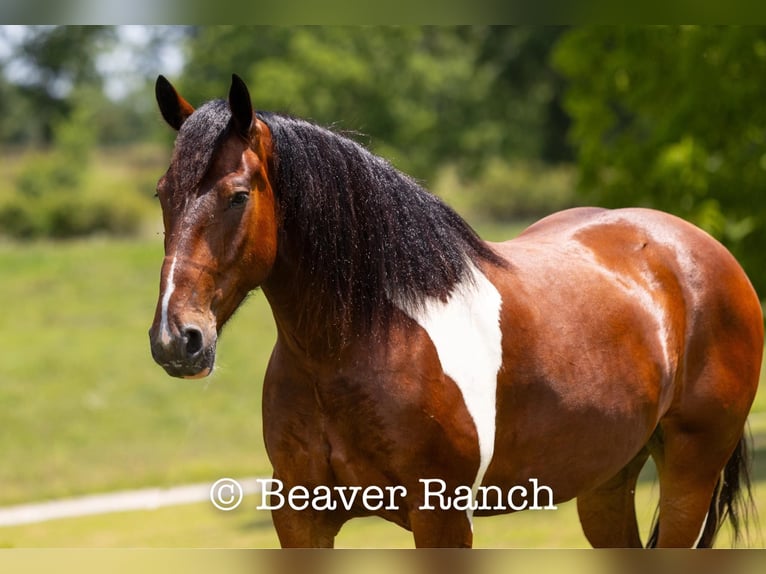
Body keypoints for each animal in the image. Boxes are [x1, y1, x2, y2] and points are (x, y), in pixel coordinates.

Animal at [148, 74, 762, 548]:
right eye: (162, 194)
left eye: (238, 195)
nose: (177, 339)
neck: (362, 342)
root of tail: (702, 249)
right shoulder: (302, 519)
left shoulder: (441, 518)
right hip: (608, 480)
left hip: (690, 474)